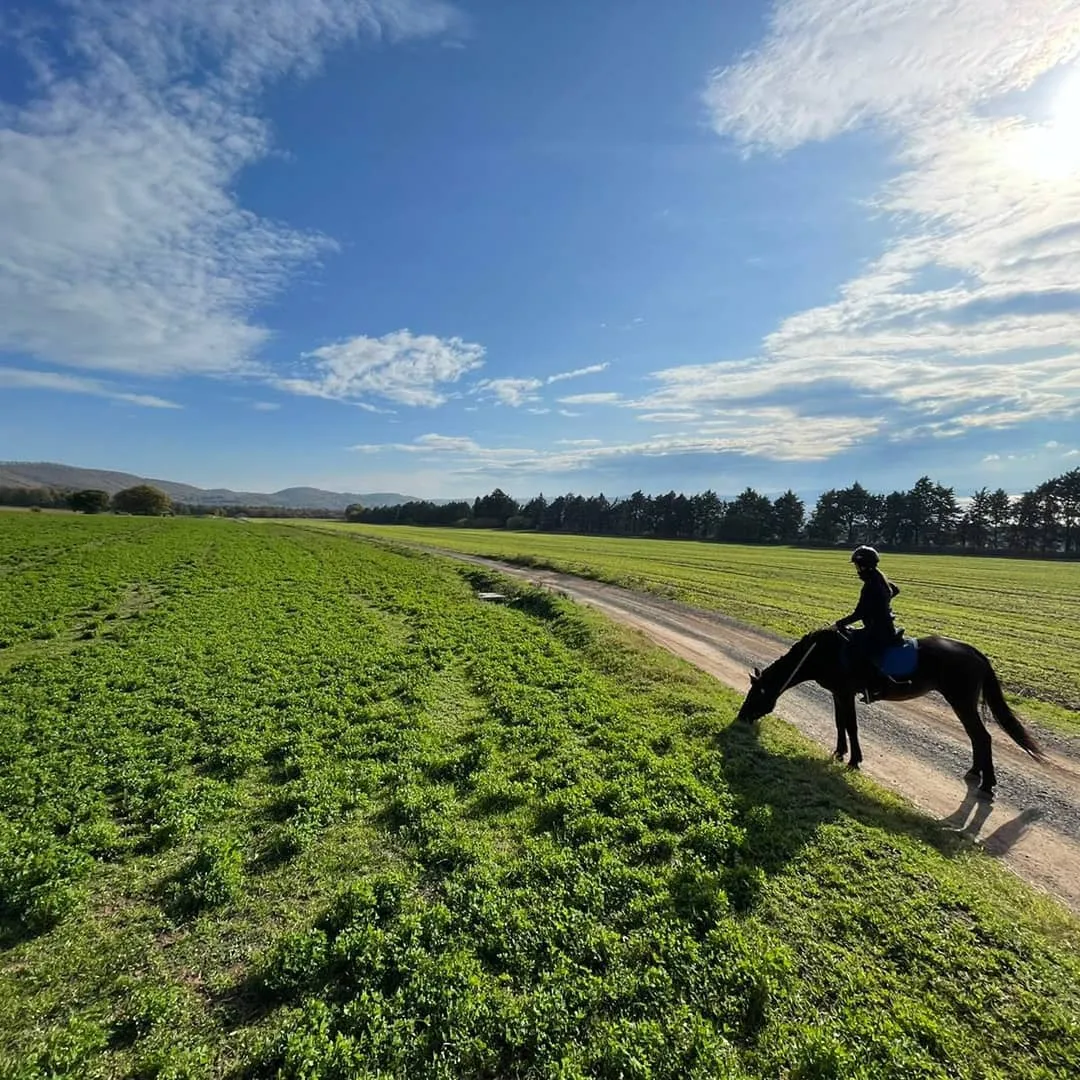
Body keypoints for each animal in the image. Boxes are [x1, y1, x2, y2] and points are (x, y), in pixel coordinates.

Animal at [734, 627, 1044, 799]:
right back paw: (975, 772)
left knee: (982, 737)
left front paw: (854, 760)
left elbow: (850, 725)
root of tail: (976, 653)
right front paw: (839, 752)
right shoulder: (838, 693)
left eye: (754, 695)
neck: (821, 653)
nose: (740, 720)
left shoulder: (845, 693)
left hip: (962, 701)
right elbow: (839, 724)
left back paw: (987, 783)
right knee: (977, 737)